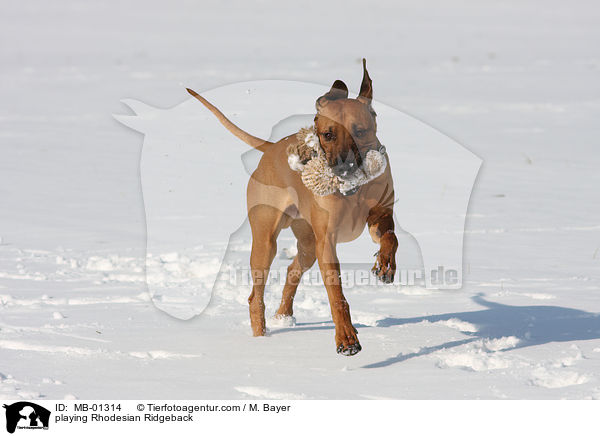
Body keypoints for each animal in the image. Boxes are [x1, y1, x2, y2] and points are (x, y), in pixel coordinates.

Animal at [185, 60, 396, 354]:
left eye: (360, 131)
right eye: (328, 134)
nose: (343, 168)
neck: (352, 189)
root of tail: (271, 148)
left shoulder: (379, 215)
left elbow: (390, 236)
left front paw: (385, 264)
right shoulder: (327, 243)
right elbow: (337, 295)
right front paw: (346, 338)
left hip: (307, 243)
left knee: (292, 270)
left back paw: (284, 315)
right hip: (266, 242)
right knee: (255, 295)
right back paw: (261, 338)